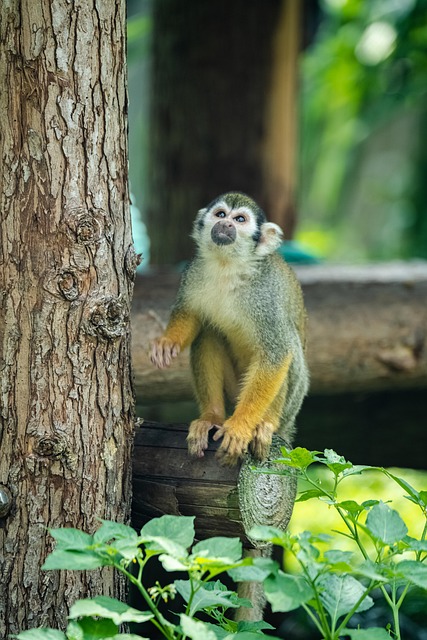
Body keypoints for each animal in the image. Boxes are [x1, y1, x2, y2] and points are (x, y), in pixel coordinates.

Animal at [150, 192, 309, 466]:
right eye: (221, 214)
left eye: (240, 219)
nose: (225, 225)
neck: (228, 265)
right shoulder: (193, 270)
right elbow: (190, 314)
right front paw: (168, 342)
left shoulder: (266, 294)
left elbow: (277, 353)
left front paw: (240, 427)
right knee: (208, 331)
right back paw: (211, 417)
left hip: (288, 405)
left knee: (288, 346)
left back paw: (265, 424)